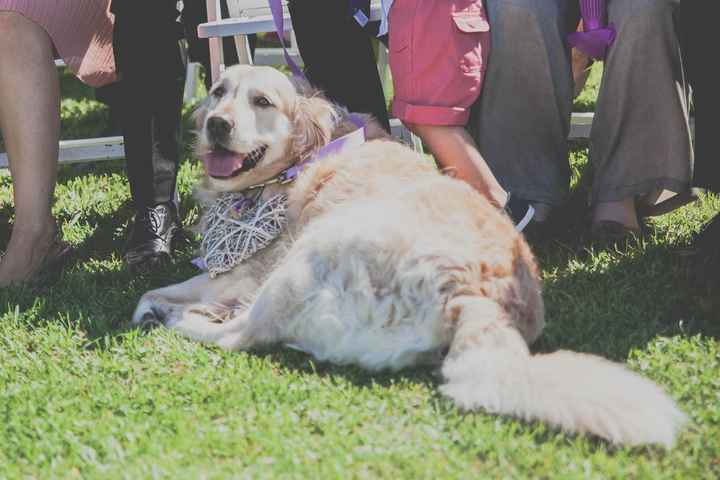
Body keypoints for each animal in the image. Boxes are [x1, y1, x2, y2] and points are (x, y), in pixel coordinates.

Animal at [134, 65, 688, 448]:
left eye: (262, 101)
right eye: (218, 92)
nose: (217, 125)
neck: (302, 156)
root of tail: (477, 298)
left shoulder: (249, 268)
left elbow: (174, 285)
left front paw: (155, 303)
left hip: (312, 252)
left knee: (240, 333)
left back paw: (176, 318)